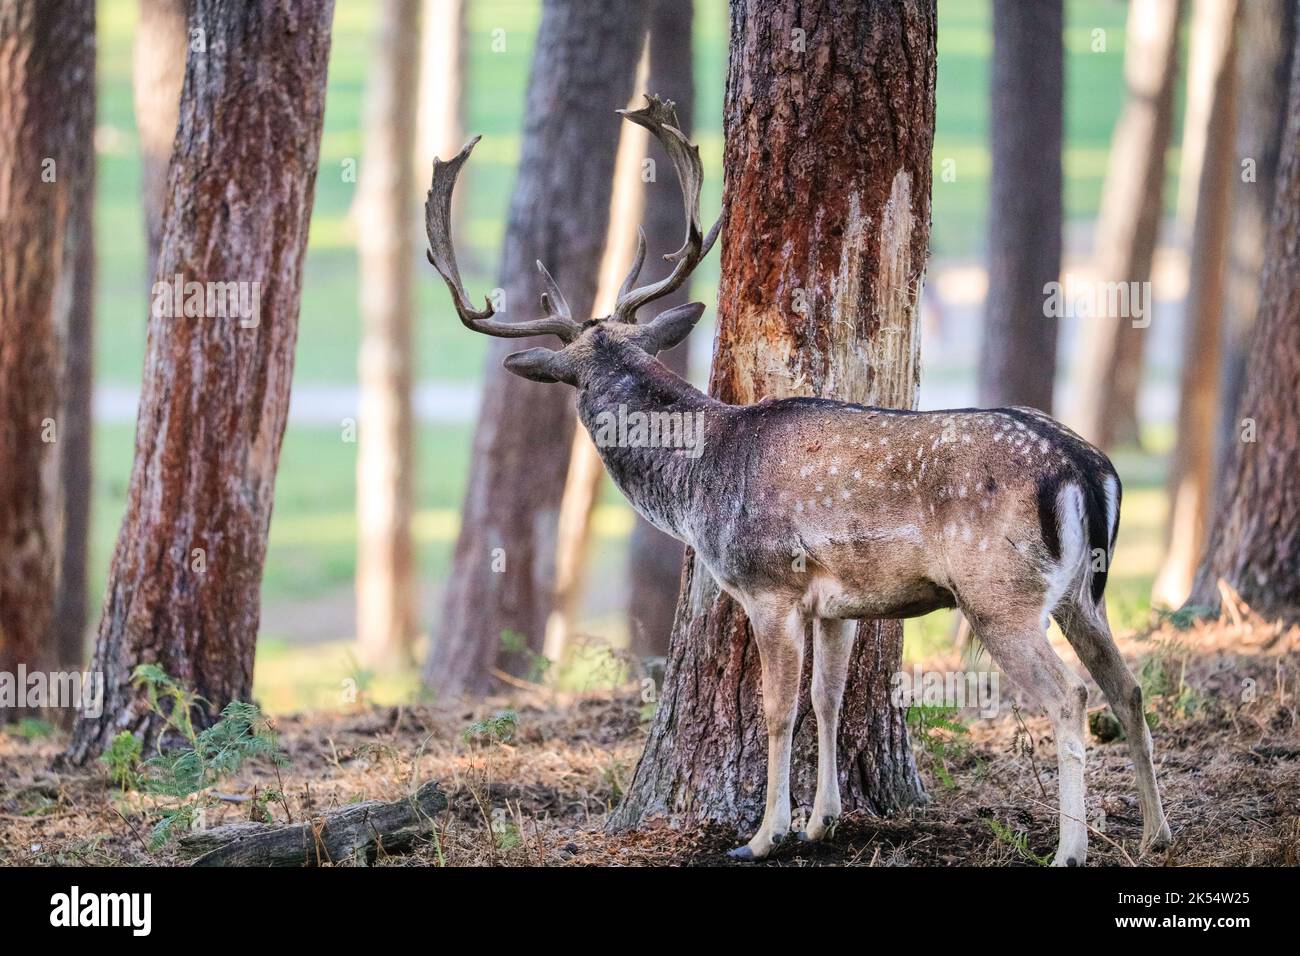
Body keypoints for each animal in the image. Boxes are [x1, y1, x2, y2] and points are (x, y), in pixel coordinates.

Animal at [421, 95, 1175, 868]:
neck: (698, 482)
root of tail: (1087, 469)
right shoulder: (836, 604)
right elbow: (826, 700)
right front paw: (823, 822)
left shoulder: (768, 585)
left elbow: (779, 709)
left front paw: (762, 835)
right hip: (1084, 594)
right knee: (1129, 688)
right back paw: (1155, 831)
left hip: (1000, 594)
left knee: (1070, 696)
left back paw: (1071, 848)